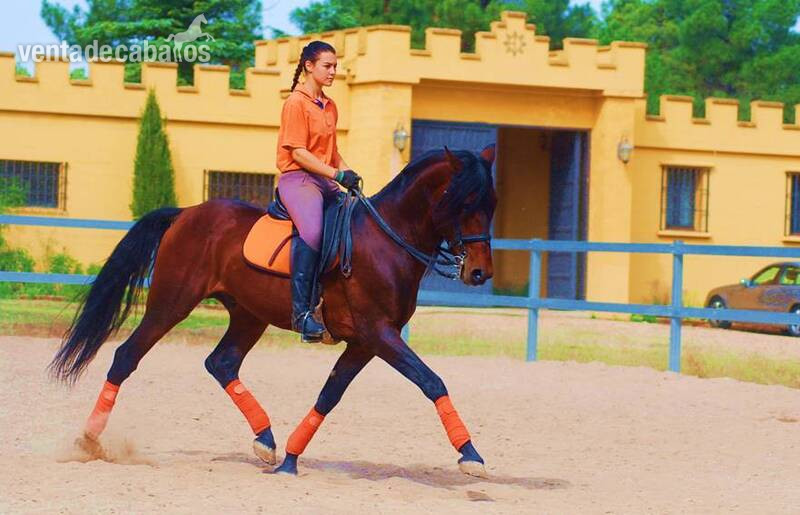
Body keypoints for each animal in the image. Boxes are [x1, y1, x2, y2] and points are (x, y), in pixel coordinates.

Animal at [49, 145, 497, 477]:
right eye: (464, 202)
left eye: (491, 203)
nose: (479, 273)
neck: (388, 239)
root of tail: (185, 213)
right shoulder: (378, 333)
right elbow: (431, 381)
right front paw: (471, 454)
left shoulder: (365, 343)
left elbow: (329, 394)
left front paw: (290, 461)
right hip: (170, 305)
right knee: (127, 356)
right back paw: (89, 441)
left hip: (249, 315)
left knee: (222, 363)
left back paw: (265, 441)